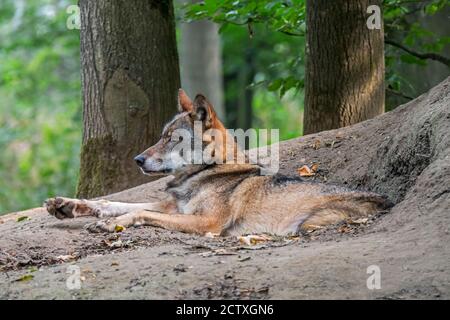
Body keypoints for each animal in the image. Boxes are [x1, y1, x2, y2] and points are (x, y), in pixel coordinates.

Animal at [44, 89, 392, 235]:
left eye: (173, 138)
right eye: (161, 135)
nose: (138, 159)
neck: (209, 172)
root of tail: (387, 201)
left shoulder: (206, 222)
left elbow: (140, 212)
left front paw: (109, 224)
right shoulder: (173, 207)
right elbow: (112, 203)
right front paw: (67, 205)